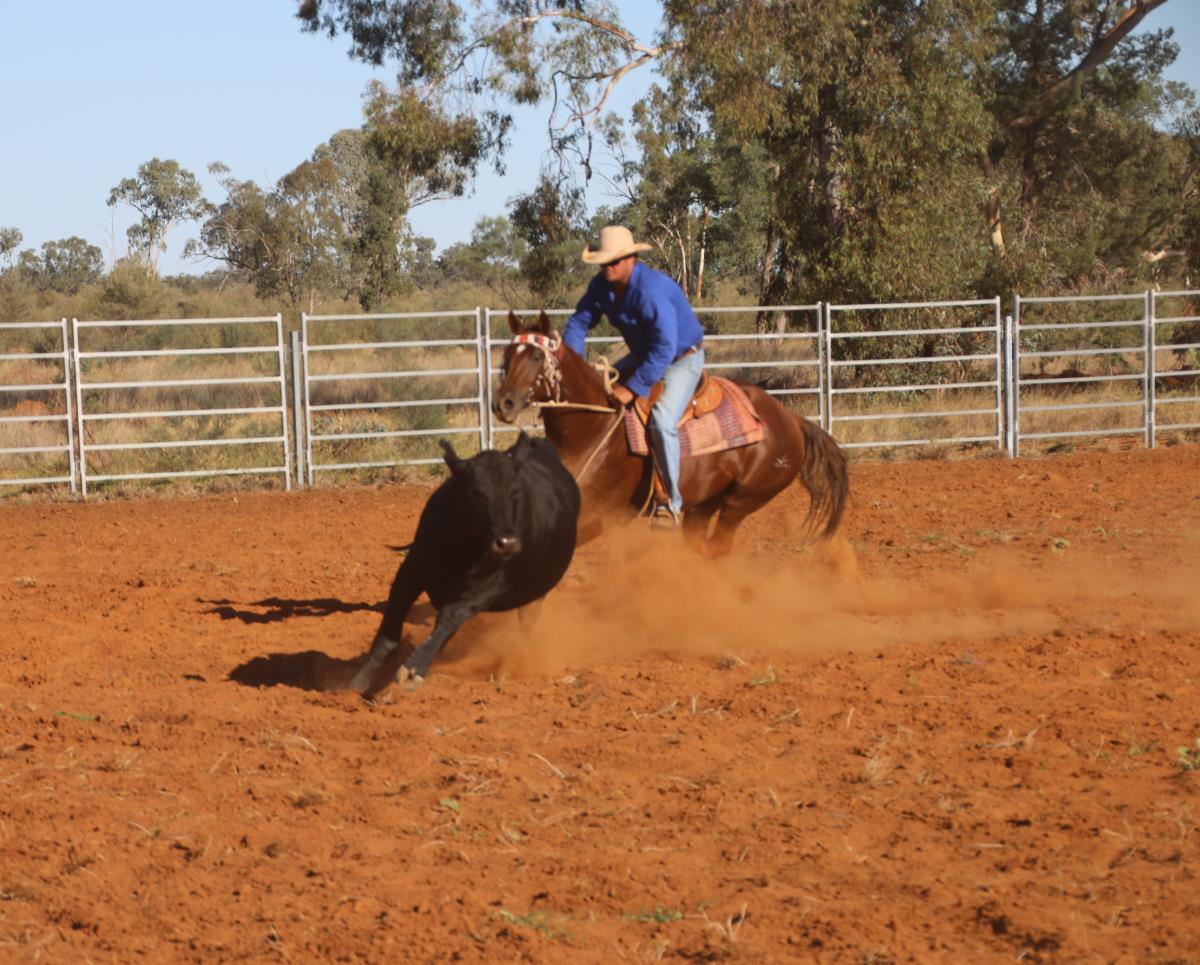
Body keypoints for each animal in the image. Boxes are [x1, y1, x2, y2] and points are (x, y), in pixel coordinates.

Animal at [349, 431, 581, 698]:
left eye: (516, 492)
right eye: (476, 493)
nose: (507, 543)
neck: (460, 545)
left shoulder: (486, 587)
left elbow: (450, 617)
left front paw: (413, 669)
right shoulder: (410, 571)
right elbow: (390, 630)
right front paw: (356, 683)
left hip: (533, 595)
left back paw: (507, 669)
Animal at [491, 311, 849, 556]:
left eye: (537, 356)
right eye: (506, 356)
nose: (502, 403)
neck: (592, 429)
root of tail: (791, 419)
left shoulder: (600, 516)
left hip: (742, 501)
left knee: (718, 547)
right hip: (702, 507)